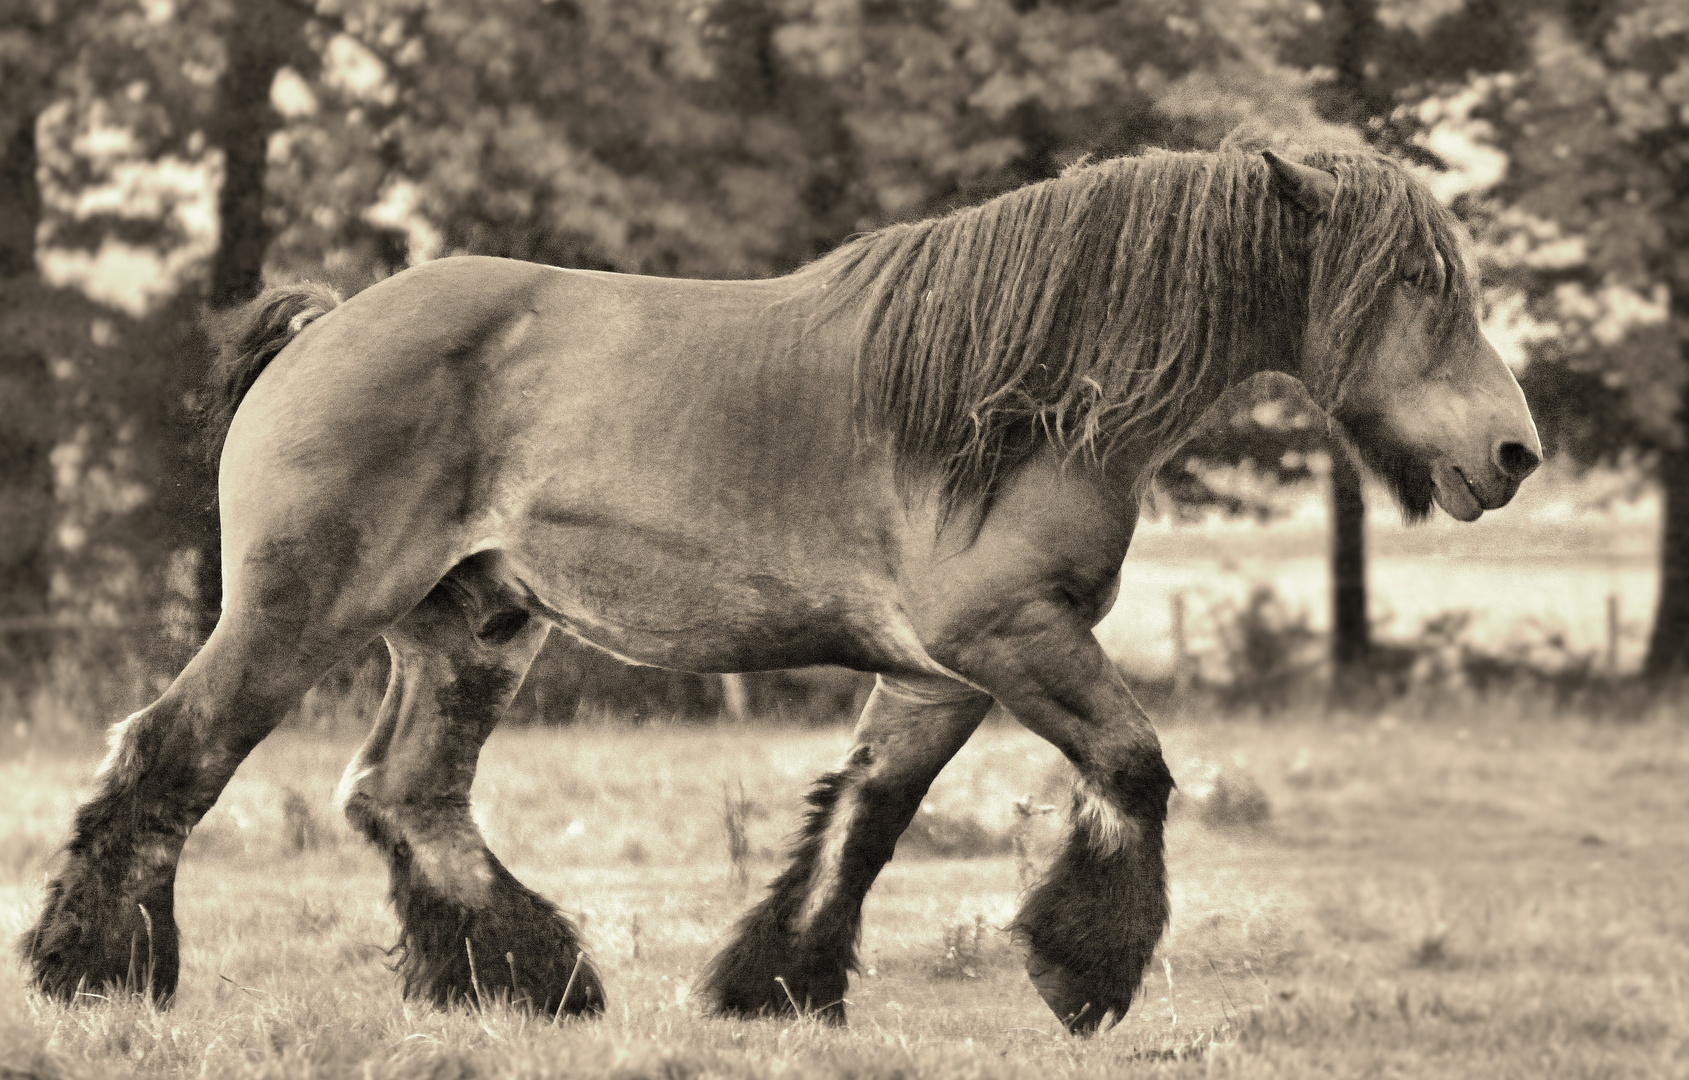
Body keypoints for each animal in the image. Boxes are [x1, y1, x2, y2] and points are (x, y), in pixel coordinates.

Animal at [19, 147, 1540, 1034]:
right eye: (1417, 280)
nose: (1512, 453)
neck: (1022, 393)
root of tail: (323, 327)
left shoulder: (941, 672)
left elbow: (862, 821)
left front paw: (776, 989)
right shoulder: (1010, 637)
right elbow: (1134, 767)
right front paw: (1084, 972)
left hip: (473, 629)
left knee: (406, 796)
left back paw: (528, 982)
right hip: (298, 612)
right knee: (171, 755)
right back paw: (98, 974)